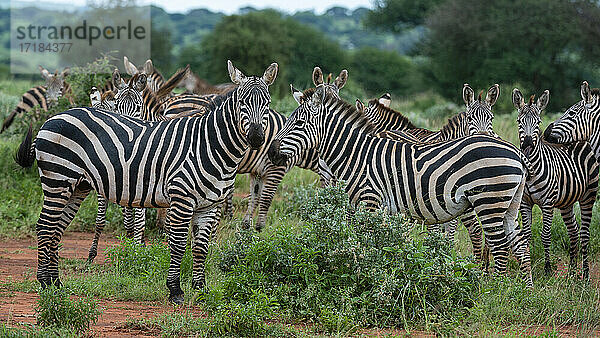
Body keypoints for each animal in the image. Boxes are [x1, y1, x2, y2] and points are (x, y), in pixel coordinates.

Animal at [14, 60, 276, 304]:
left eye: (267, 104)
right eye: (241, 102)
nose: (256, 138)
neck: (210, 145)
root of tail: (52, 118)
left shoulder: (210, 206)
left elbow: (201, 247)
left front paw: (201, 289)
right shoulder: (181, 199)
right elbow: (178, 243)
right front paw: (175, 290)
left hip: (77, 186)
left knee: (56, 229)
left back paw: (55, 282)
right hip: (58, 179)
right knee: (45, 227)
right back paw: (44, 282)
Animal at [270, 86, 532, 286]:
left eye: (299, 122)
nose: (271, 152)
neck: (356, 154)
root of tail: (517, 152)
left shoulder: (370, 201)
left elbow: (368, 243)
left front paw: (366, 278)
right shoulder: (367, 207)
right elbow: (371, 242)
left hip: (489, 202)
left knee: (500, 245)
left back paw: (494, 290)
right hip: (510, 203)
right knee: (519, 242)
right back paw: (523, 291)